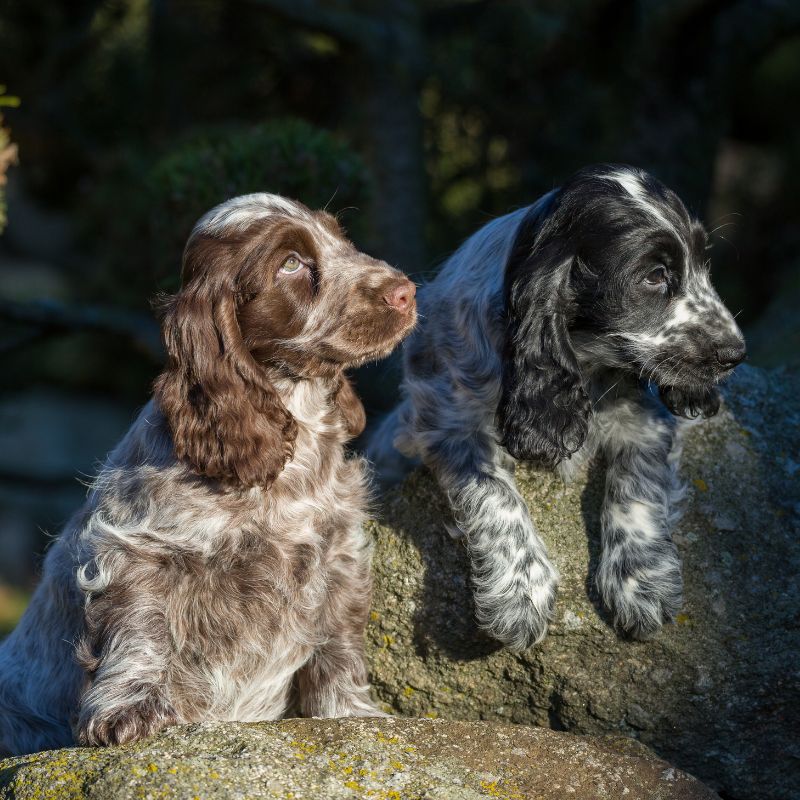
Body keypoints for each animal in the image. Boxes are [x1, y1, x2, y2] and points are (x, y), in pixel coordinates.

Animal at [1, 194, 418, 756]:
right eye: (290, 263)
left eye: (342, 240)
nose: (405, 290)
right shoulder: (138, 551)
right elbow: (141, 630)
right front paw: (129, 709)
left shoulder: (339, 555)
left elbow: (338, 644)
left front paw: (350, 713)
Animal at [372, 162, 748, 648]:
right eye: (654, 276)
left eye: (704, 264)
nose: (736, 353)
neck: (585, 362)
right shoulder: (443, 418)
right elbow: (493, 493)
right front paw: (519, 593)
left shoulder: (645, 416)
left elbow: (640, 484)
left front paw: (642, 581)